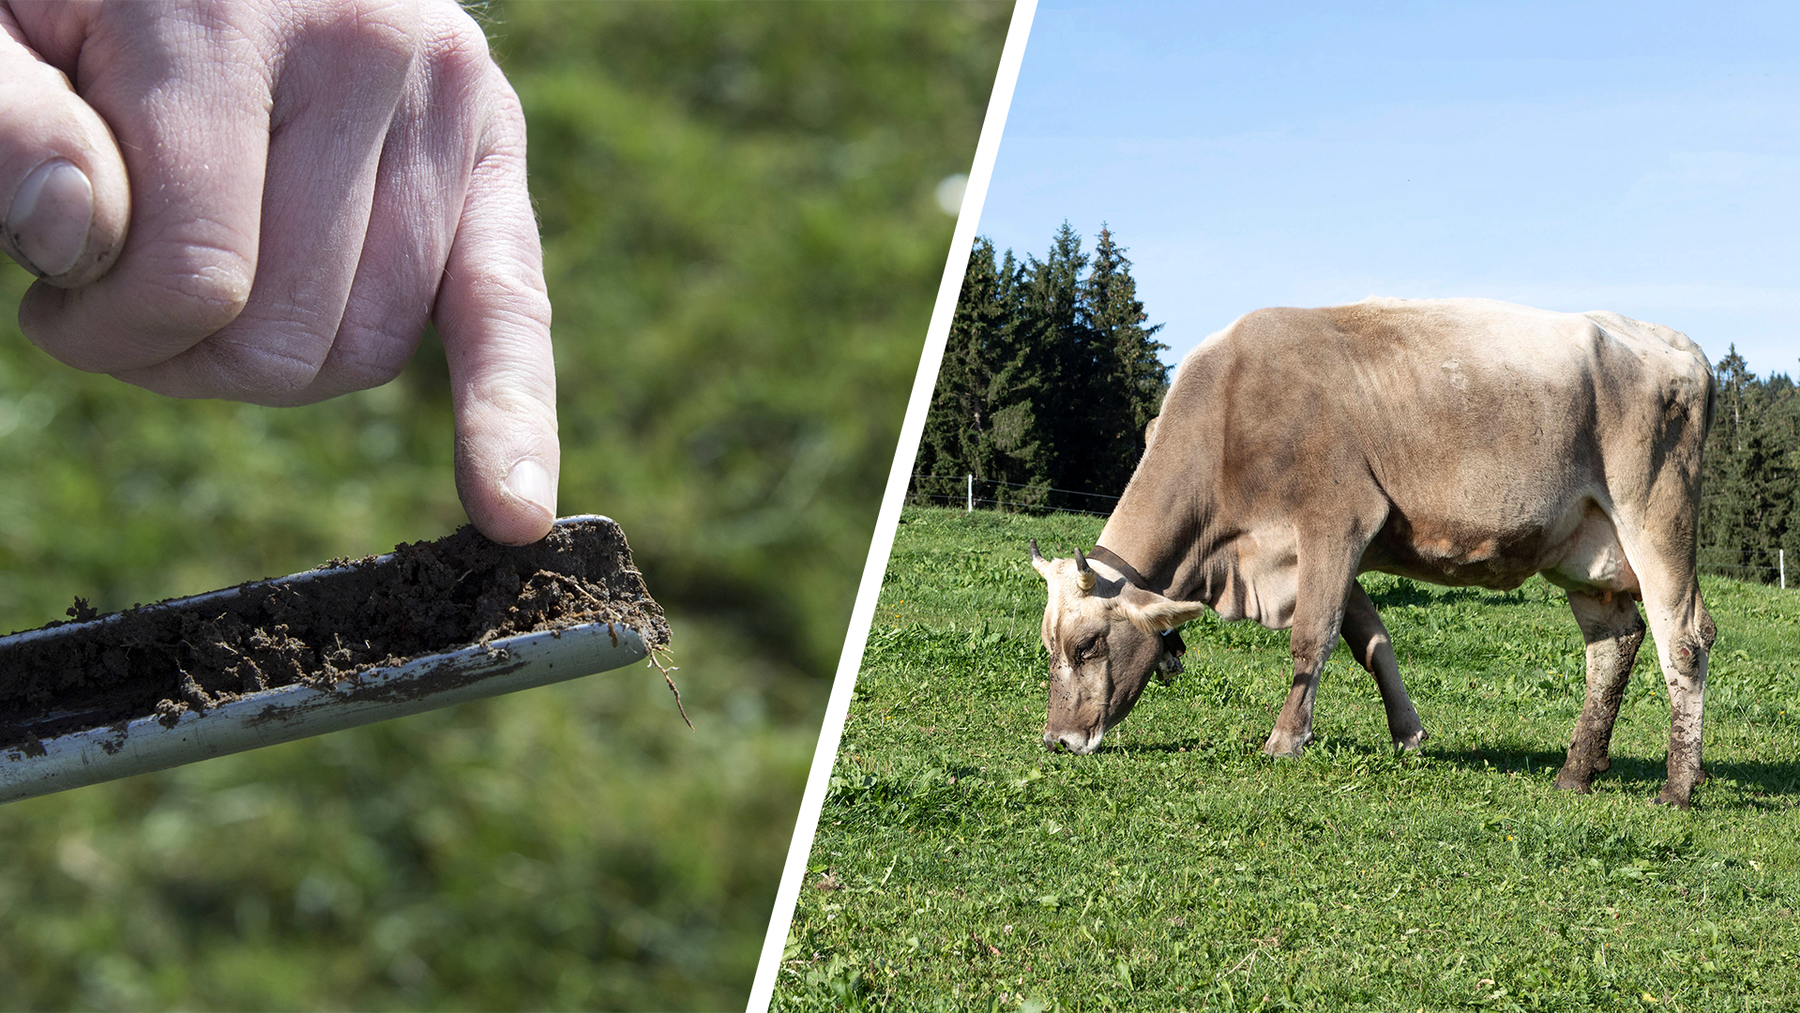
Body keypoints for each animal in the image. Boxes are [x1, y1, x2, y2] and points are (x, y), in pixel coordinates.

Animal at [1029, 293, 1713, 809]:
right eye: (1047, 645)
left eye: (1088, 645)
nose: (1058, 740)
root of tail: (1680, 343)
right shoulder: (1338, 548)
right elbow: (1371, 639)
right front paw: (1408, 735)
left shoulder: (1337, 519)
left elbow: (1313, 636)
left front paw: (1285, 740)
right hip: (1587, 549)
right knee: (1613, 644)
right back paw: (1577, 771)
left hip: (1656, 517)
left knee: (1684, 639)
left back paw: (1677, 788)